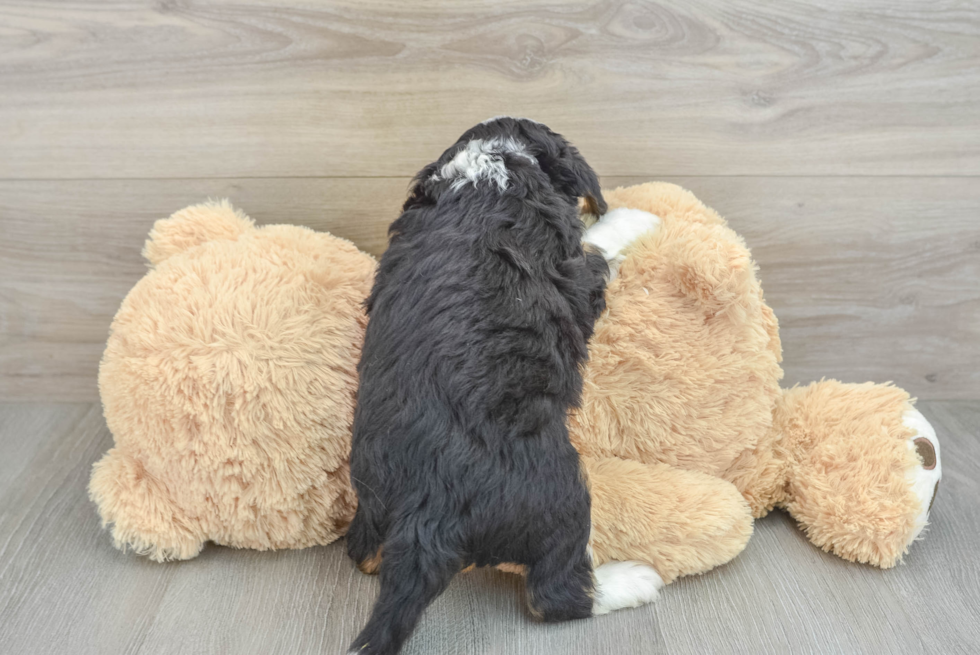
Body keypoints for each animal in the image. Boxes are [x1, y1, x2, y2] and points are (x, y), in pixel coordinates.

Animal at [348, 118, 656, 655]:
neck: (484, 173)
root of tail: (425, 520)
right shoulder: (573, 275)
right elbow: (596, 243)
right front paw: (636, 216)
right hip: (564, 493)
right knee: (554, 594)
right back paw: (632, 580)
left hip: (371, 503)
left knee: (361, 554)